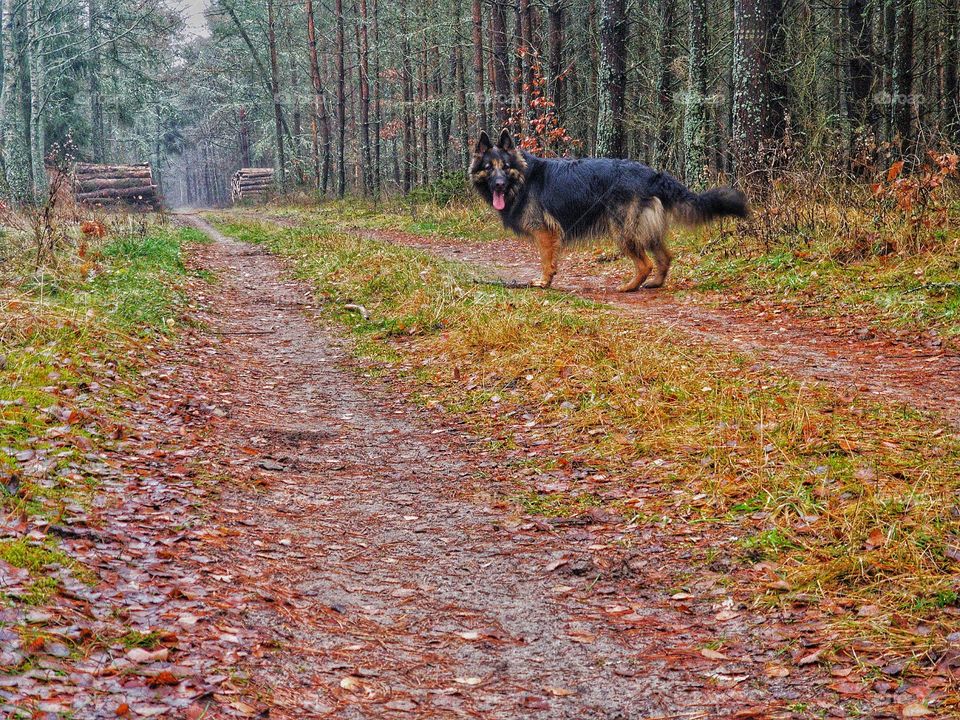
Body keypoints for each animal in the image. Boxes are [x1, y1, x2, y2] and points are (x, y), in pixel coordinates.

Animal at [470, 129, 752, 290]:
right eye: (489, 167)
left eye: (505, 167)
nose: (498, 184)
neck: (523, 179)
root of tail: (652, 174)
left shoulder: (545, 234)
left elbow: (546, 261)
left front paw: (544, 282)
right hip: (643, 229)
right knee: (664, 258)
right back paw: (655, 284)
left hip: (623, 232)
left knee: (645, 264)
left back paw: (629, 287)